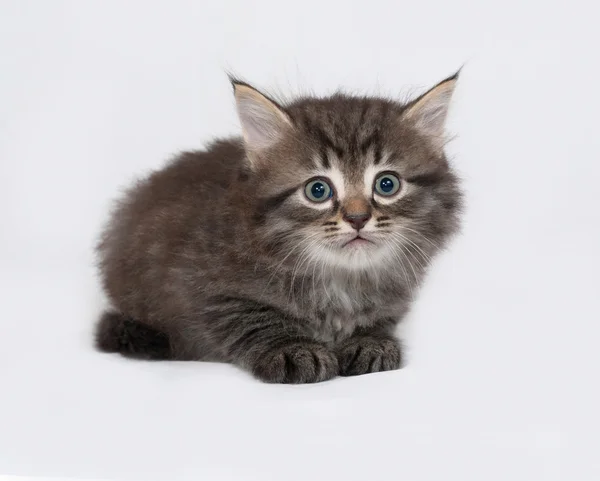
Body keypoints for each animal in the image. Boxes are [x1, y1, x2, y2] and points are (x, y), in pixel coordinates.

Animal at [95, 74, 464, 382]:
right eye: (318, 190)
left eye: (387, 184)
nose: (357, 218)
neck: (339, 279)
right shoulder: (204, 288)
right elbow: (253, 320)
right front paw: (293, 350)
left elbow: (378, 318)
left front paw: (371, 341)